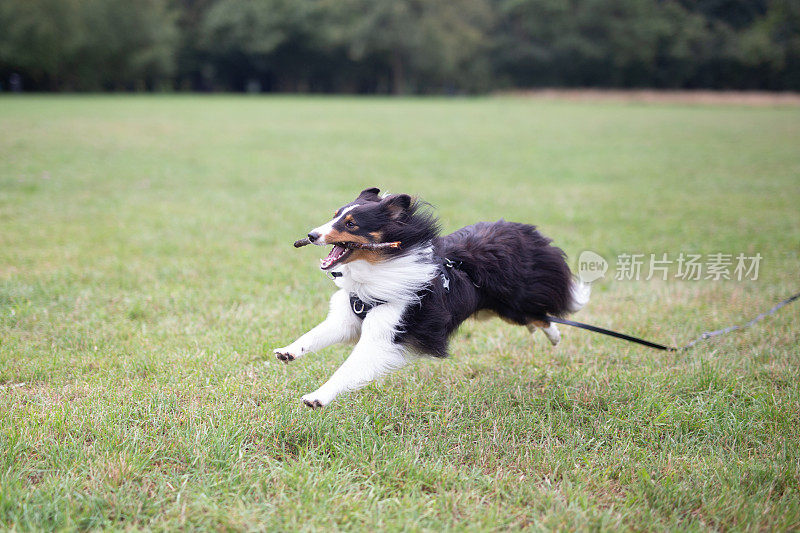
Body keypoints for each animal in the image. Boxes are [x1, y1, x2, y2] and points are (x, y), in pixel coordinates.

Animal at [276, 188, 588, 408]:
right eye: (335, 215)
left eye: (351, 224)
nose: (311, 235)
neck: (379, 266)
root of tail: (522, 230)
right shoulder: (349, 318)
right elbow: (313, 335)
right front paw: (288, 351)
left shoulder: (385, 334)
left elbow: (348, 368)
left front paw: (318, 397)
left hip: (514, 304)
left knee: (542, 313)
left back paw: (554, 336)